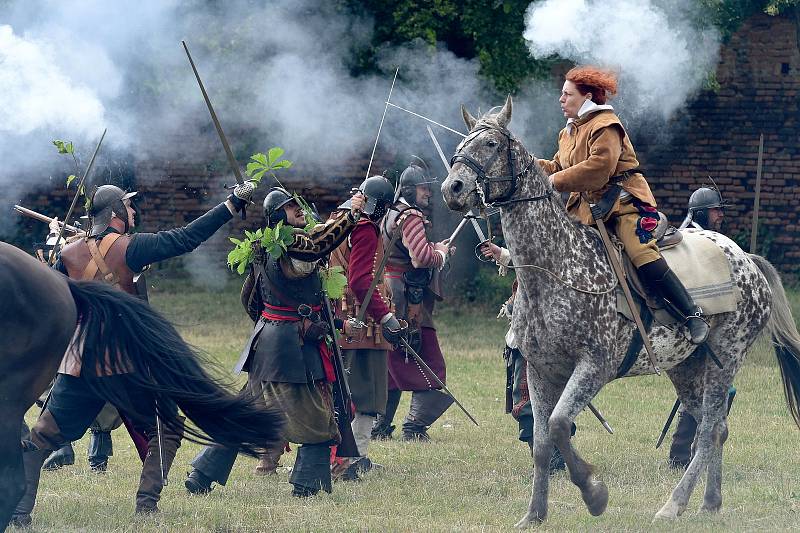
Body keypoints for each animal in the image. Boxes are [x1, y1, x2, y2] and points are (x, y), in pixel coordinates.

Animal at [440, 97, 796, 524]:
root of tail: (746, 260)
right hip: (686, 366)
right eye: (463, 143)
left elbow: (559, 425)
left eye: (491, 144)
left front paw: (594, 495)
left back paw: (673, 504)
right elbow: (542, 443)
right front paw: (535, 515)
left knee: (710, 429)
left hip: (726, 357)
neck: (557, 267)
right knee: (715, 426)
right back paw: (710, 503)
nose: (452, 188)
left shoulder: (594, 366)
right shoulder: (540, 372)